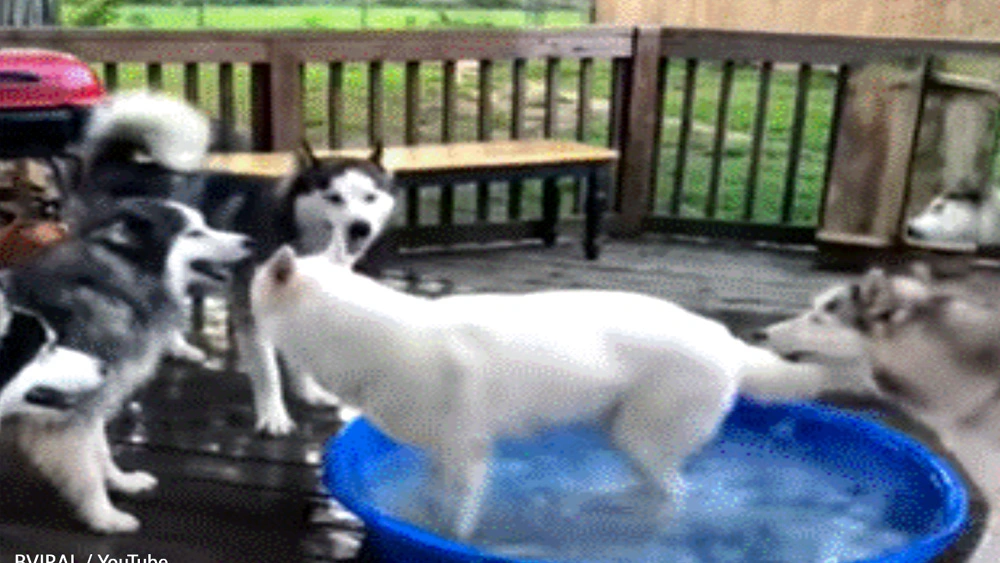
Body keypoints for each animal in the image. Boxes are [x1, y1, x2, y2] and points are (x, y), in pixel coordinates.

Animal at [252, 246, 828, 540]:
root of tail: (726, 341)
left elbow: (458, 522)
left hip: (641, 439)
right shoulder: (443, 455)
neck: (372, 333)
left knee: (675, 495)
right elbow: (431, 500)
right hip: (623, 438)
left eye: (257, 281)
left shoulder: (469, 457)